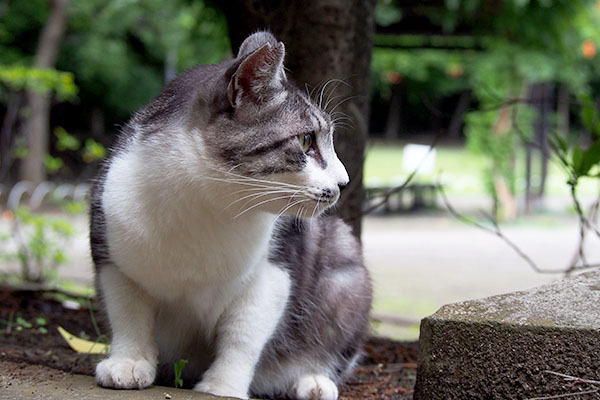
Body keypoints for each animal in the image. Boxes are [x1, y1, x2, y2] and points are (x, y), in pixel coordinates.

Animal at [90, 32, 370, 400]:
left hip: (345, 263)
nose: (344, 181)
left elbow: (243, 336)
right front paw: (129, 362)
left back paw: (313, 381)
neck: (206, 209)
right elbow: (129, 316)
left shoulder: (273, 270)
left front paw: (222, 386)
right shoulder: (113, 258)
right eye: (306, 139)